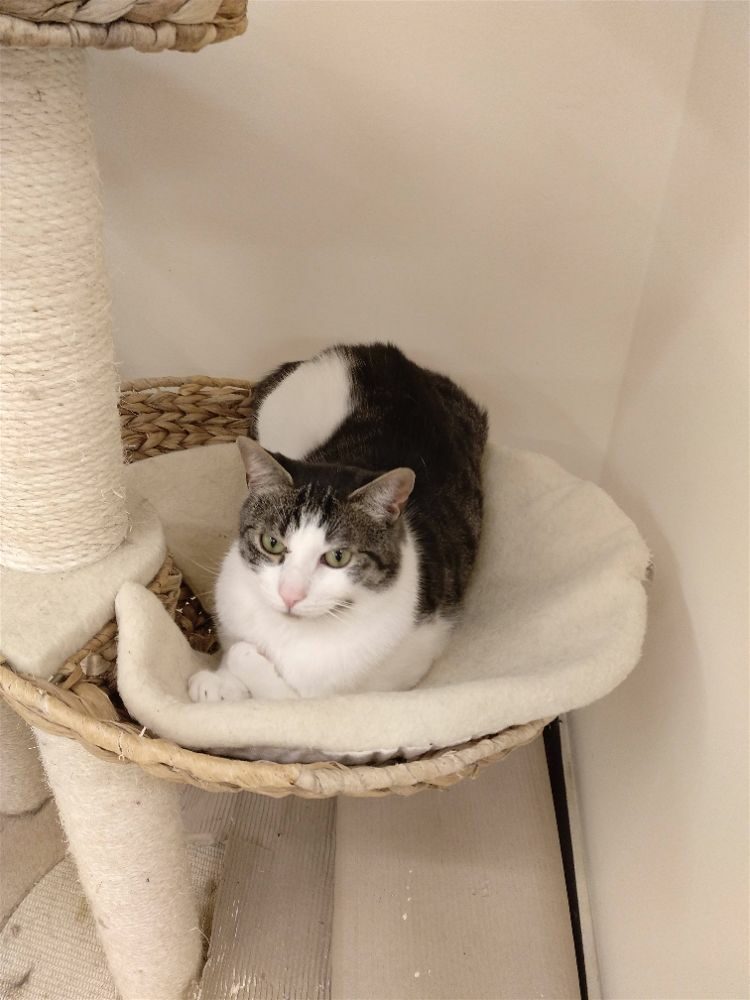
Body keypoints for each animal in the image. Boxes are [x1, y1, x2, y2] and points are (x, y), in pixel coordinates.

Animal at [188, 343, 487, 702]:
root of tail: (375, 352)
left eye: (338, 557)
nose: (290, 595)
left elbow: (269, 679)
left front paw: (230, 673)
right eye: (272, 543)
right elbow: (234, 644)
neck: (288, 633)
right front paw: (218, 681)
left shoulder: (376, 681)